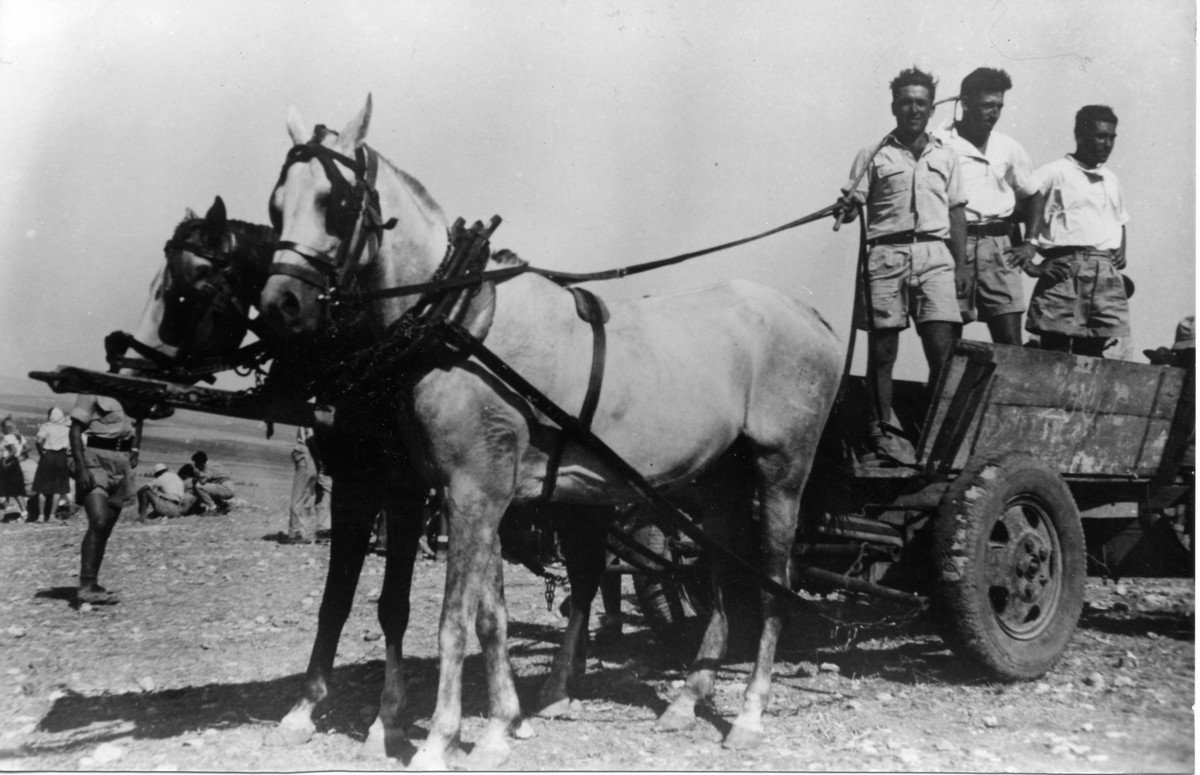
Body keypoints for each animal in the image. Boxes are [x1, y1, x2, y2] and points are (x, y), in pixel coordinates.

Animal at [260, 97, 844, 772]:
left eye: (336, 202)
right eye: (276, 204)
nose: (280, 304)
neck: (459, 321)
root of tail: (810, 315)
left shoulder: (471, 491)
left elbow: (455, 620)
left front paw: (437, 739)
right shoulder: (478, 495)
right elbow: (491, 616)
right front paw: (498, 727)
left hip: (780, 472)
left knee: (774, 584)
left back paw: (748, 715)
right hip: (719, 481)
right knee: (723, 579)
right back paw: (684, 701)